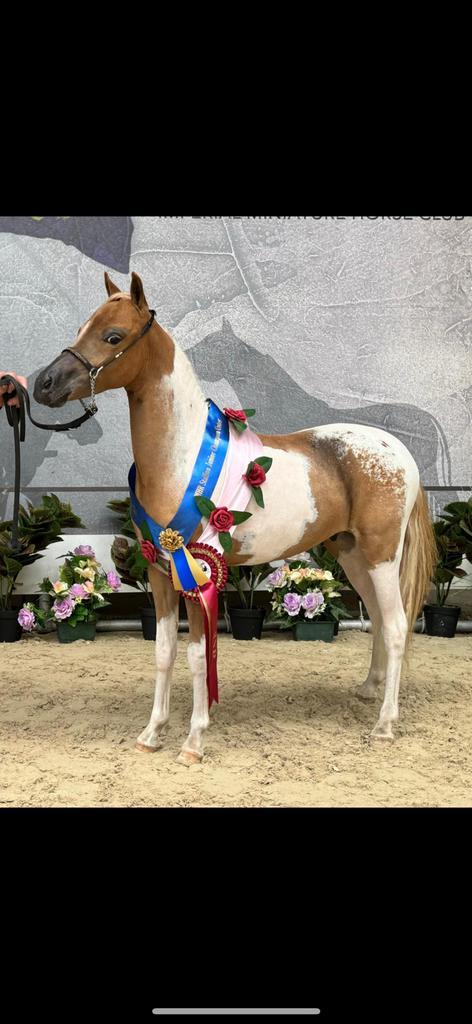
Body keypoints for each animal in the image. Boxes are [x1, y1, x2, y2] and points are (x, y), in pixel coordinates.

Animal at [33, 272, 437, 763]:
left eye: (113, 336)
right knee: (379, 620)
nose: (44, 384)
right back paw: (368, 691)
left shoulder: (197, 573)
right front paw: (152, 733)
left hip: (381, 556)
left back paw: (384, 724)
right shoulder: (159, 572)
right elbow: (164, 652)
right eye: (80, 328)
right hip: (353, 556)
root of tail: (397, 450)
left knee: (396, 626)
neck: (181, 457)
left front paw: (193, 740)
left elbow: (196, 656)